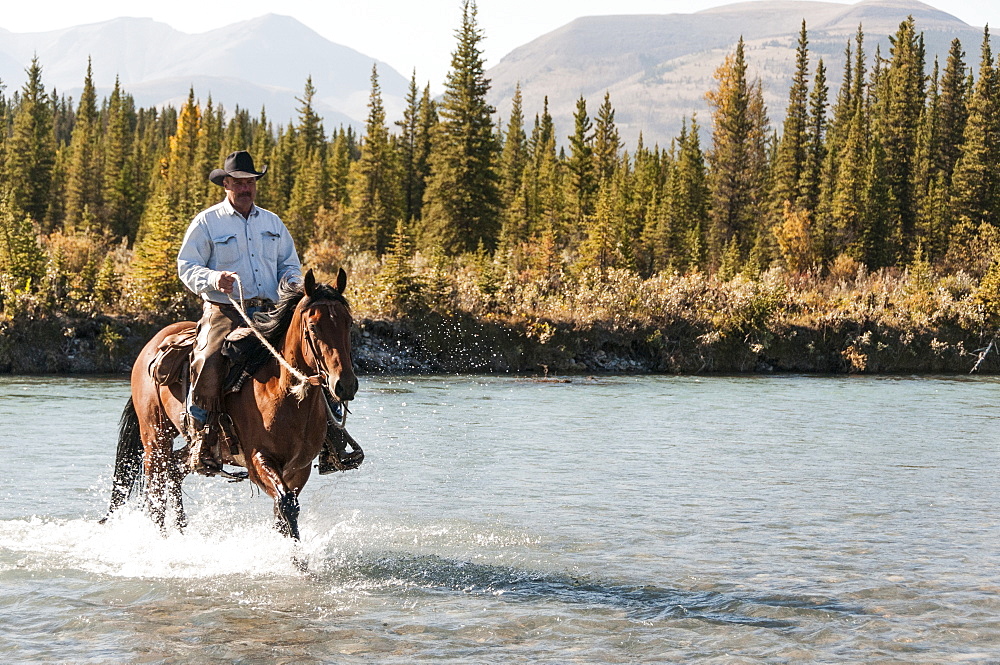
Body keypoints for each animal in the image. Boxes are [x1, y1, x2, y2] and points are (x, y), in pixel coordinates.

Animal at [101, 266, 358, 540]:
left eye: (348, 323)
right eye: (313, 326)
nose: (345, 384)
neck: (284, 395)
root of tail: (150, 348)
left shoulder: (299, 468)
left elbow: (283, 514)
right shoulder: (258, 460)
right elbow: (286, 504)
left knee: (173, 471)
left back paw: (181, 533)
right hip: (155, 436)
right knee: (156, 494)